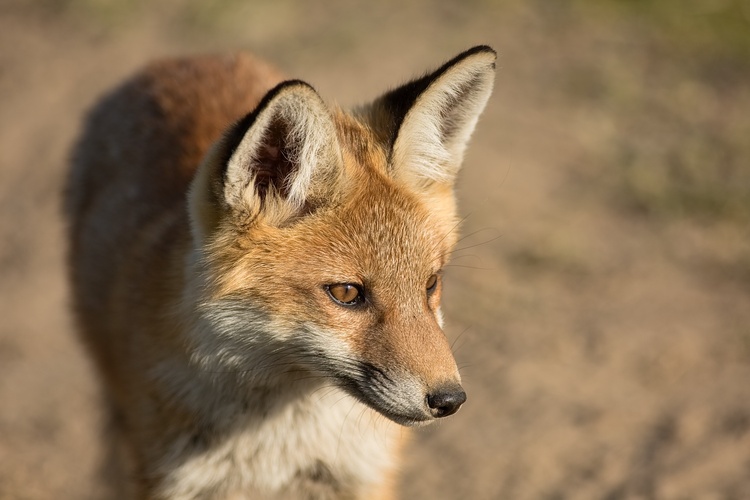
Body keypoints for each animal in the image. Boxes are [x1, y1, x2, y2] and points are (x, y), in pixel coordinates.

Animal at [66, 45, 500, 498]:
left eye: (431, 284)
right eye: (346, 293)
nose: (450, 399)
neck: (280, 442)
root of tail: (189, 57)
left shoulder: (358, 476)